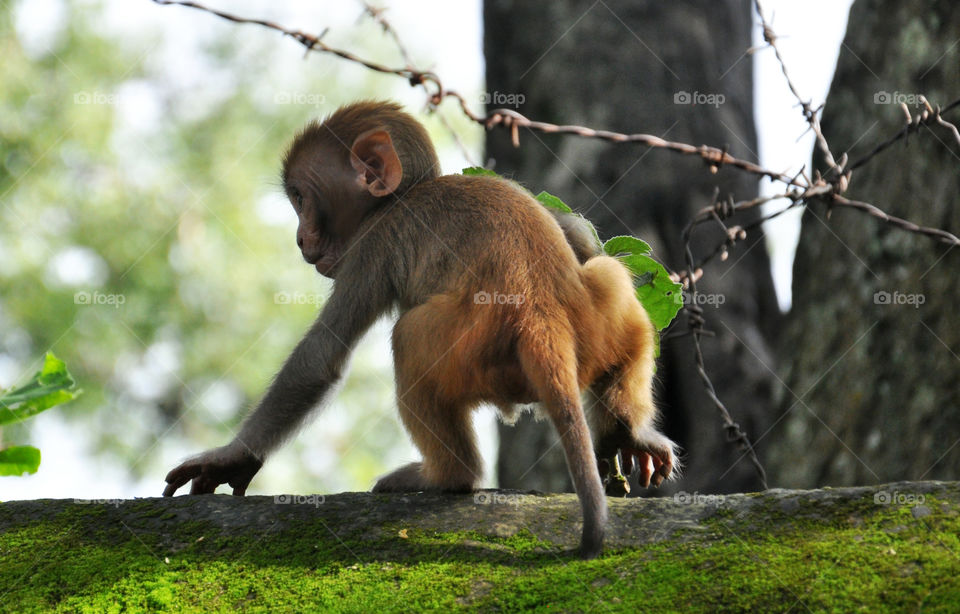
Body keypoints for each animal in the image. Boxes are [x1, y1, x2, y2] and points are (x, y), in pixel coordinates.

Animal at [163, 100, 678, 559]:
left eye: (301, 198)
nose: (299, 238)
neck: (408, 193)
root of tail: (541, 319)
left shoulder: (373, 245)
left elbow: (321, 360)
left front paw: (232, 458)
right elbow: (575, 232)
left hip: (471, 348)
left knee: (408, 337)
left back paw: (447, 476)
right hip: (597, 321)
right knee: (611, 279)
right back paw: (629, 432)